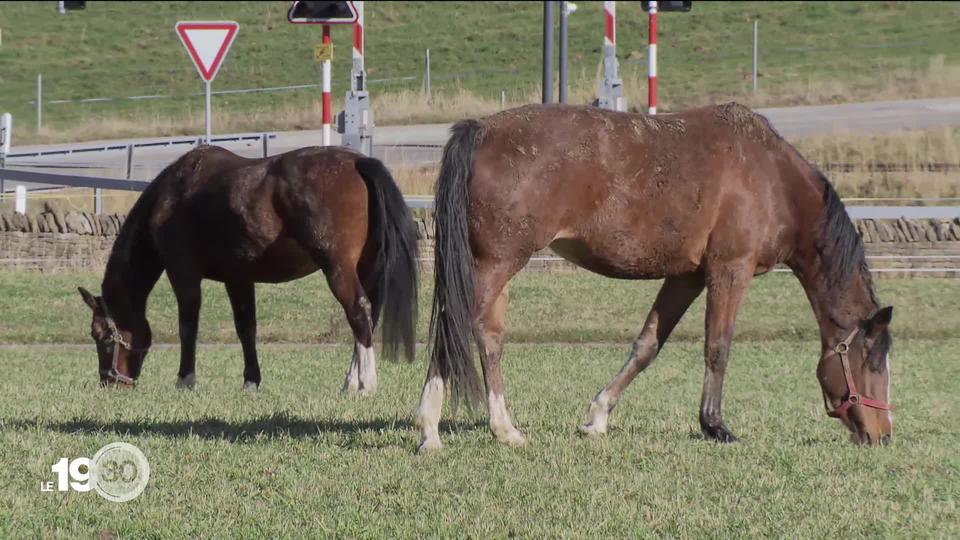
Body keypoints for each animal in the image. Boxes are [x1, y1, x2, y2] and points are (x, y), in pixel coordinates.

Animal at [78, 146, 416, 394]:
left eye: (101, 335)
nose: (109, 382)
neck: (174, 195)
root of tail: (359, 162)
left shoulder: (183, 274)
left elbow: (188, 326)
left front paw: (185, 379)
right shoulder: (238, 279)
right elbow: (246, 328)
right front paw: (251, 380)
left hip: (338, 269)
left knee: (358, 311)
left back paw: (364, 384)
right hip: (367, 267)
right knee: (367, 317)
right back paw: (351, 380)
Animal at [416, 103, 896, 454]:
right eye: (872, 362)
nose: (883, 434)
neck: (772, 178)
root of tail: (481, 130)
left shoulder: (686, 277)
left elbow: (647, 346)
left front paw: (598, 417)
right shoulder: (730, 271)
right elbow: (718, 348)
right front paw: (715, 425)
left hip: (495, 267)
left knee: (489, 339)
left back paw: (505, 430)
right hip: (497, 264)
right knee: (451, 329)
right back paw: (429, 430)